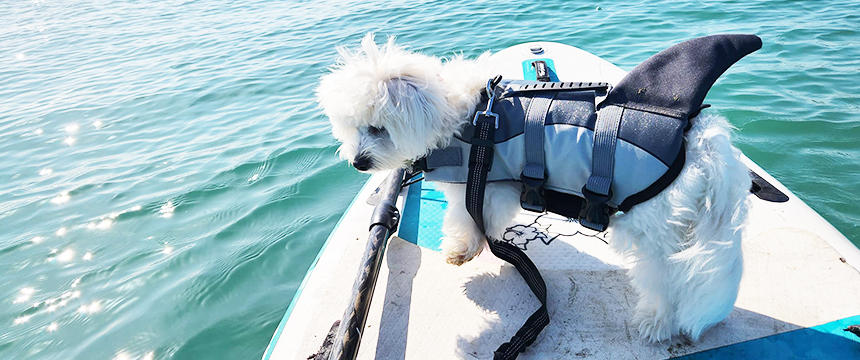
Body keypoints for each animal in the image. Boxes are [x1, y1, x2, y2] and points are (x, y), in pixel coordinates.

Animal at [320, 35, 748, 344]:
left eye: (377, 129)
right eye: (351, 126)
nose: (358, 162)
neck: (466, 120)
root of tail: (703, 141)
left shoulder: (483, 185)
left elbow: (467, 218)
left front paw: (463, 249)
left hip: (653, 229)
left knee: (664, 281)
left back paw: (655, 322)